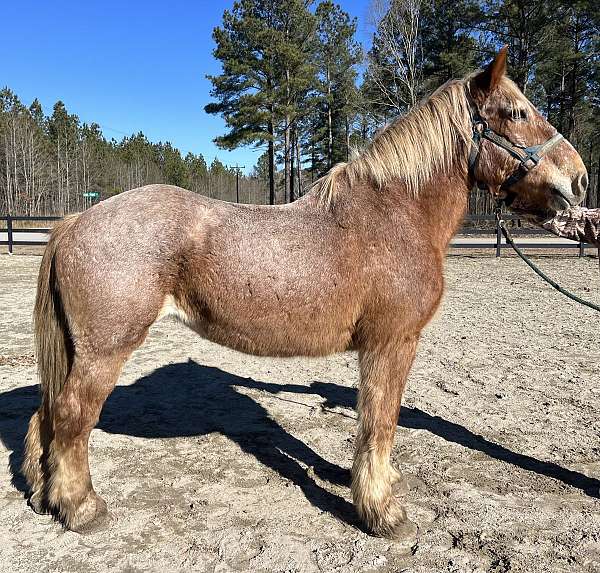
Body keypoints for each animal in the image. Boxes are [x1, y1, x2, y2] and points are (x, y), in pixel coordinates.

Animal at [21, 49, 584, 536]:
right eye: (517, 112)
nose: (578, 180)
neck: (396, 215)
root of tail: (76, 221)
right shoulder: (391, 345)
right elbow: (380, 423)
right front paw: (382, 512)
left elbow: (378, 422)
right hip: (104, 350)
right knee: (72, 417)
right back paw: (82, 508)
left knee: (46, 416)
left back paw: (46, 497)